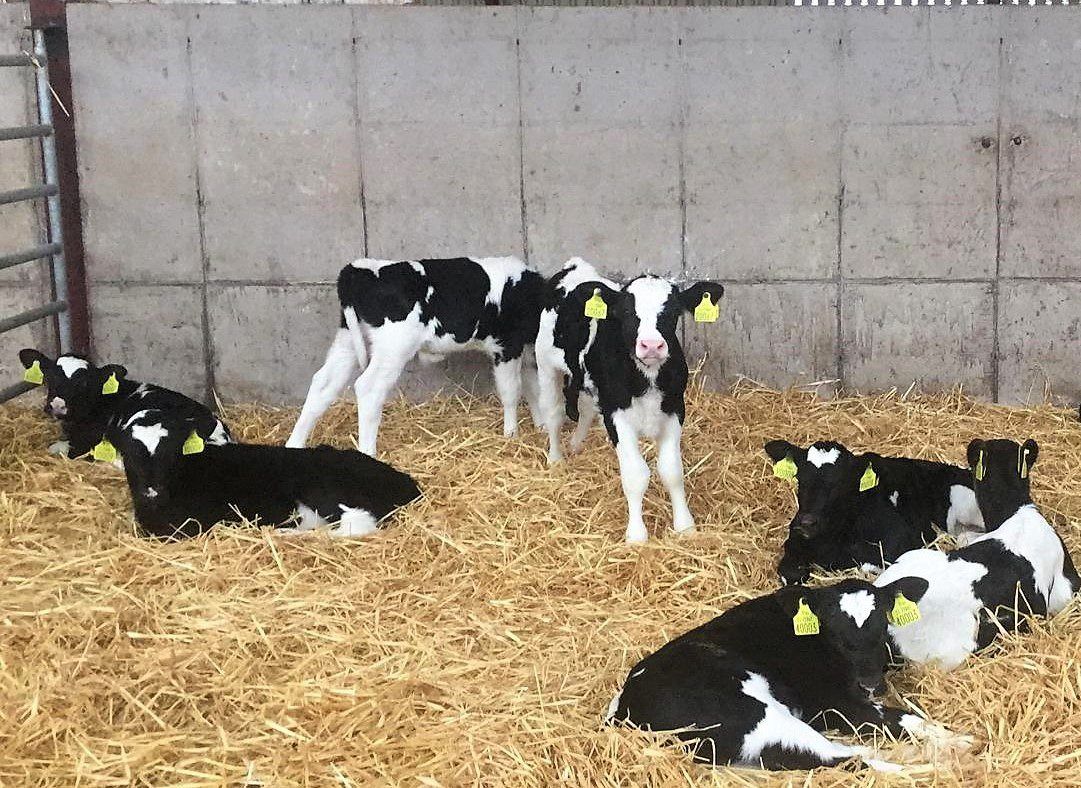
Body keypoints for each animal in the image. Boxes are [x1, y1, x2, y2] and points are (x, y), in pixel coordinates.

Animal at [287, 256, 544, 457]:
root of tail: (361, 269)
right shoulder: (507, 345)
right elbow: (512, 391)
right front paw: (511, 435)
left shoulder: (525, 353)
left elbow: (533, 388)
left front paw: (541, 426)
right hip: (393, 347)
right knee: (369, 389)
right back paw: (368, 452)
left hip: (347, 341)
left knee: (323, 384)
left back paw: (294, 444)